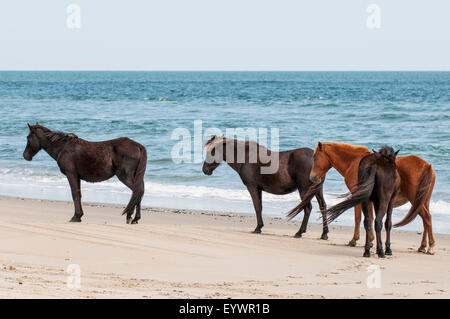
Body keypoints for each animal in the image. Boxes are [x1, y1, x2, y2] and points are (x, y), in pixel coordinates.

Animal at [288, 142, 436, 255]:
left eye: (315, 157)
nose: (312, 177)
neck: (353, 161)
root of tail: (427, 166)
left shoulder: (358, 196)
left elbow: (358, 218)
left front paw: (355, 240)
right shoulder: (368, 200)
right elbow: (369, 219)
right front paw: (370, 242)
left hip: (414, 200)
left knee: (427, 218)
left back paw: (431, 247)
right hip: (423, 201)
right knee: (425, 220)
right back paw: (423, 246)